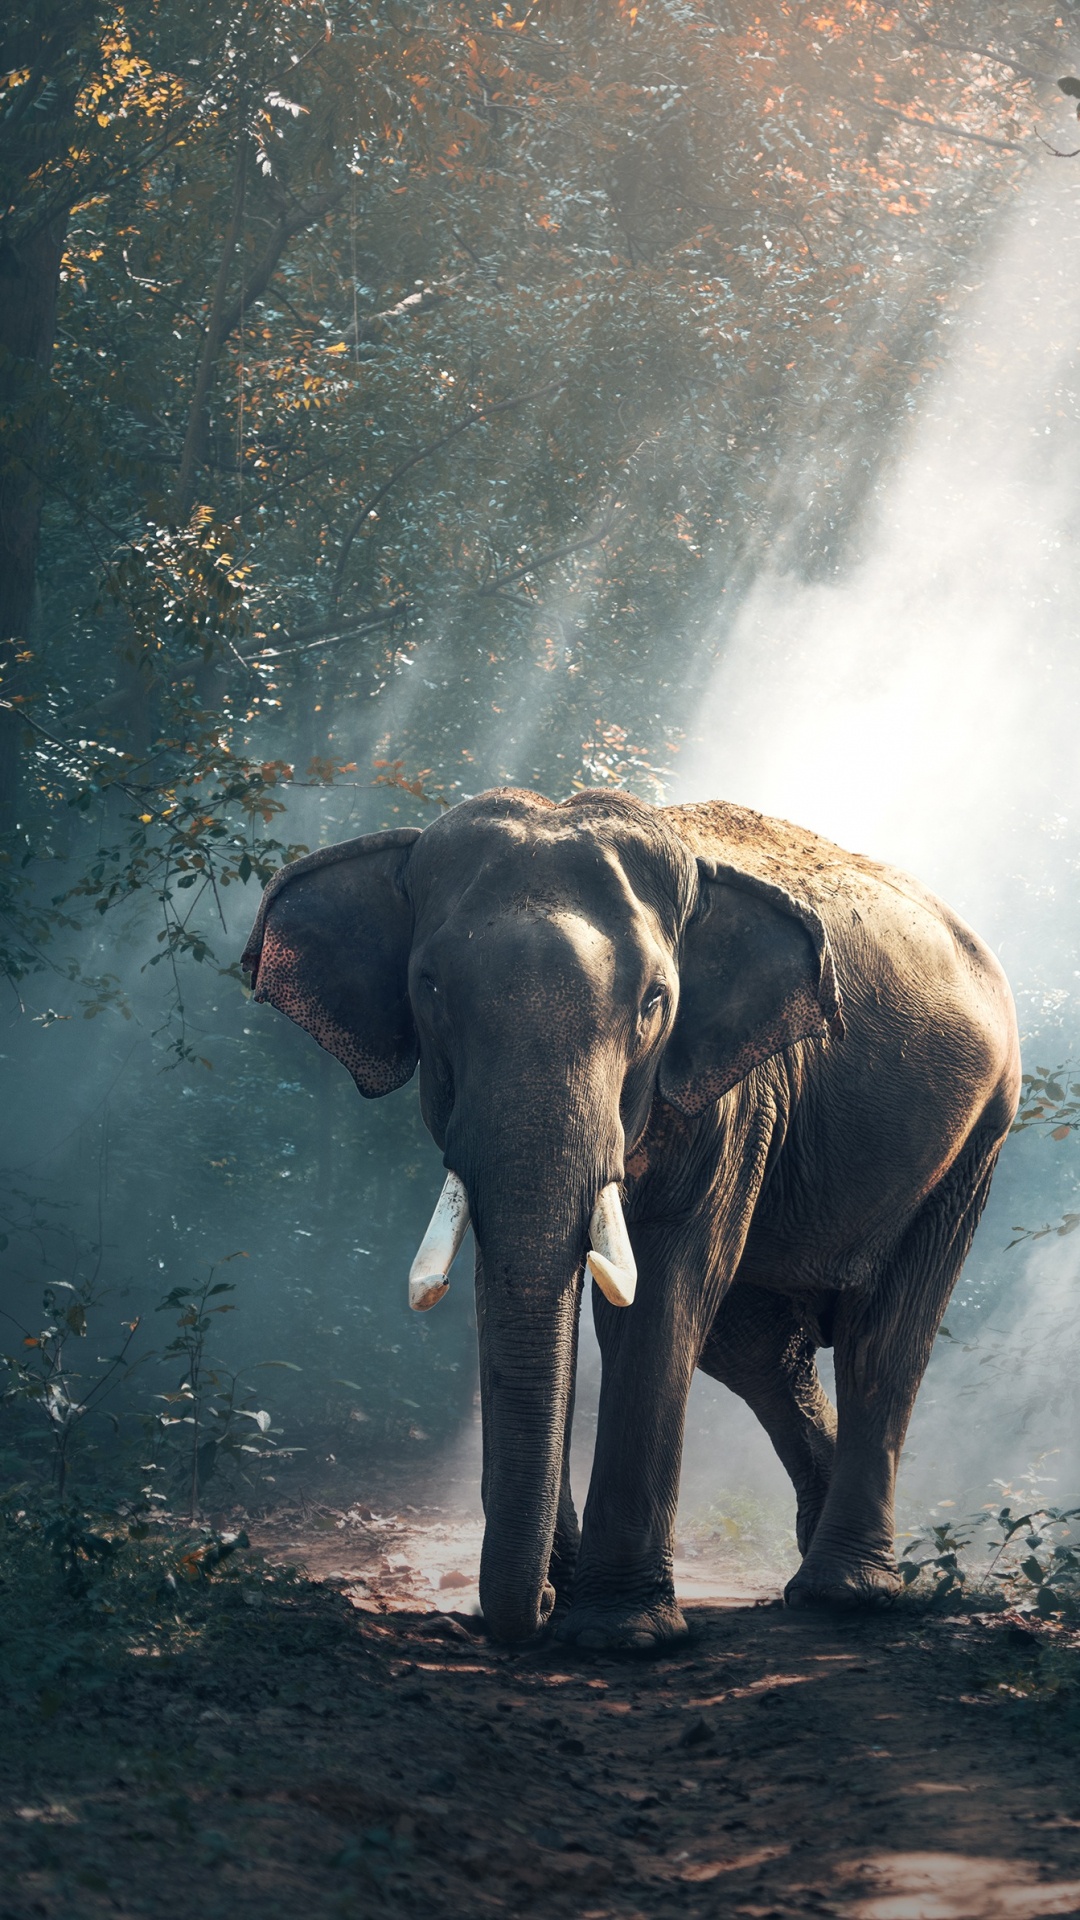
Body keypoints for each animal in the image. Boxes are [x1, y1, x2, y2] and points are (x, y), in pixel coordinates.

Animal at [241, 787, 1020, 1649]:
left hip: (976, 1138)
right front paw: (568, 1593)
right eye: (431, 988)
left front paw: (621, 1634)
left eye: (654, 1002)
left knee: (884, 1338)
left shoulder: (735, 1095)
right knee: (757, 1349)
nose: (536, 1609)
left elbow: (663, 1291)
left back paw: (844, 1594)